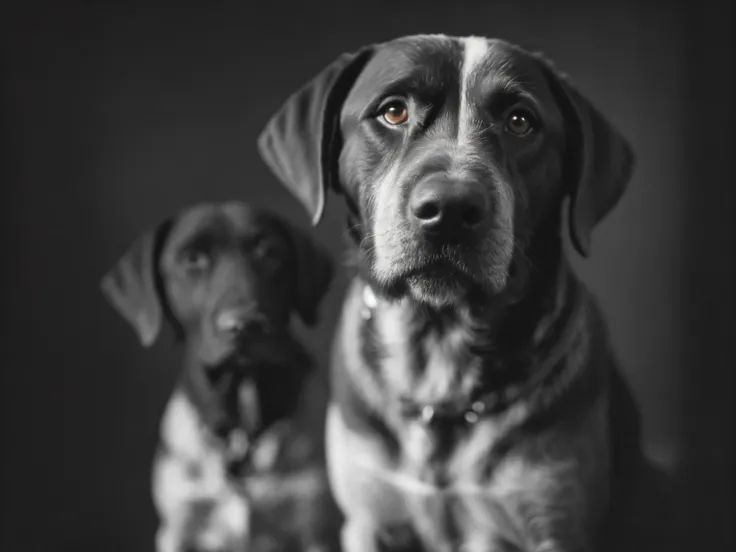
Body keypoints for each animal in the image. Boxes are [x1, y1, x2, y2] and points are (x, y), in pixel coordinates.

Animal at [256, 35, 676, 552]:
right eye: (393, 111)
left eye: (520, 121)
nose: (450, 209)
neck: (440, 347)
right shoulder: (369, 518)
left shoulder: (555, 520)